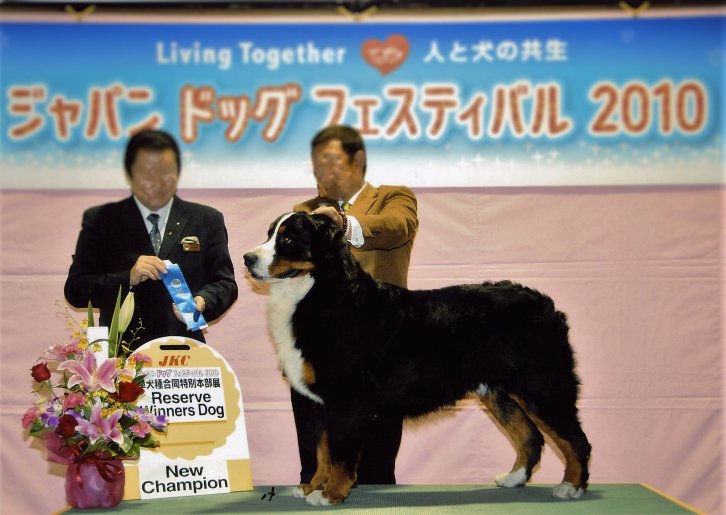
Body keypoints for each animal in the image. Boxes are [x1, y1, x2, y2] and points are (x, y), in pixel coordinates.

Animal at [245, 212, 592, 506]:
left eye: (288, 239)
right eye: (270, 234)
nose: (248, 258)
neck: (317, 292)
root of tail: (545, 303)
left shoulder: (346, 398)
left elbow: (340, 451)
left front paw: (331, 494)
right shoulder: (318, 400)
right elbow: (322, 449)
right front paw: (313, 486)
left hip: (543, 386)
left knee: (575, 439)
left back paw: (571, 487)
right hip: (496, 391)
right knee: (529, 435)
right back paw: (514, 478)